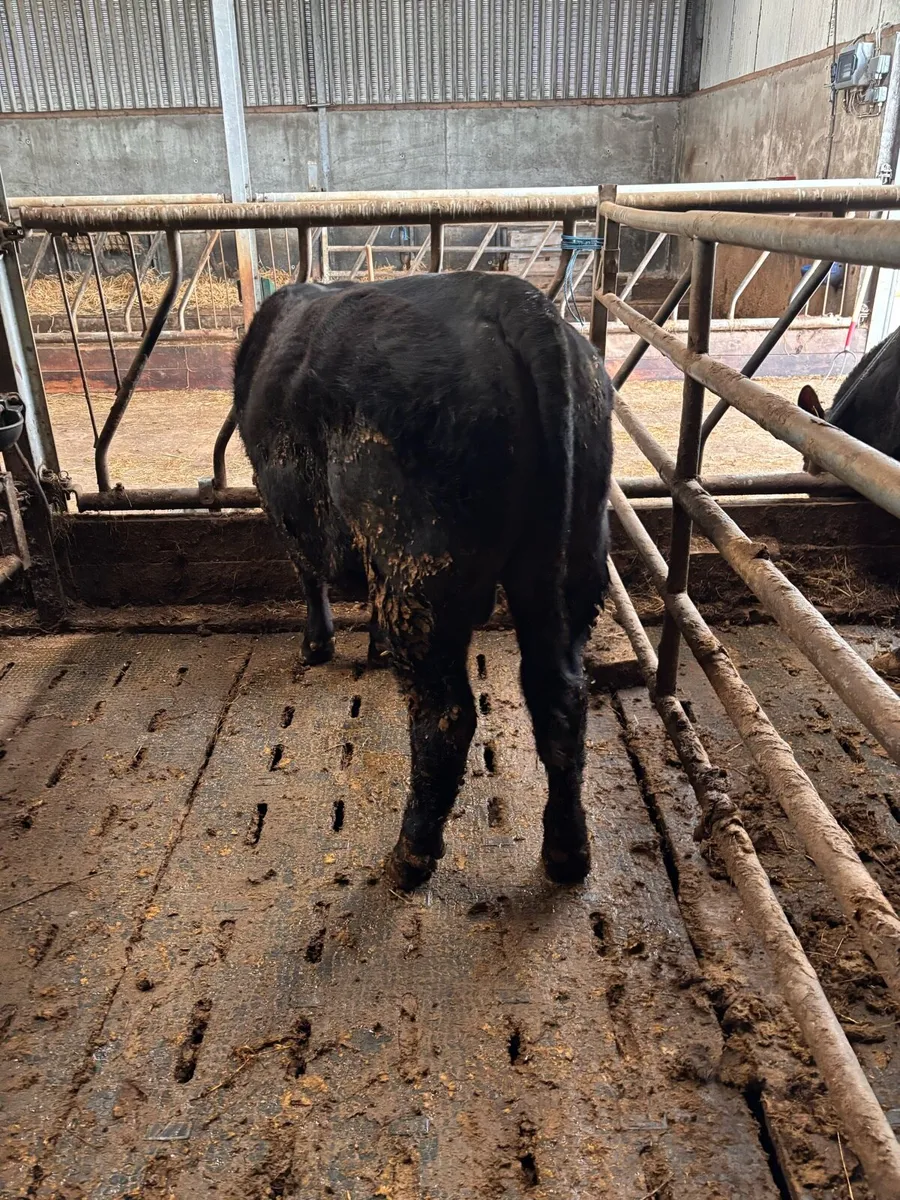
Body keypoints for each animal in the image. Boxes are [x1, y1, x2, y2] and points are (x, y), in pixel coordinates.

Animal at [233, 272, 613, 891]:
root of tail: (516, 300)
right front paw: (371, 648)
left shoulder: (287, 507)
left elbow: (308, 574)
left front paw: (318, 646)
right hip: (571, 563)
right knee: (560, 696)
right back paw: (566, 853)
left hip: (419, 572)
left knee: (446, 717)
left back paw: (409, 856)